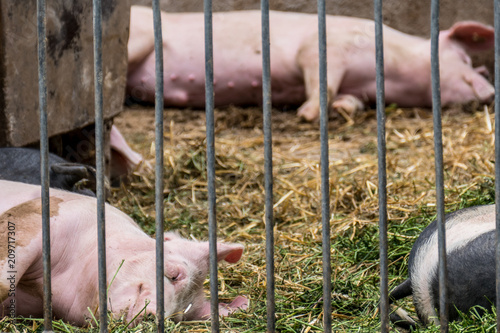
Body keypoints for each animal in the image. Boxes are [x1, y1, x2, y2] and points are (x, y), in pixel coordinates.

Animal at [127, 7, 494, 120]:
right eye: (464, 58)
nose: (492, 92)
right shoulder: (323, 49)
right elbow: (322, 83)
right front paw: (307, 114)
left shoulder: (358, 89)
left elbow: (346, 98)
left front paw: (344, 110)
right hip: (139, 37)